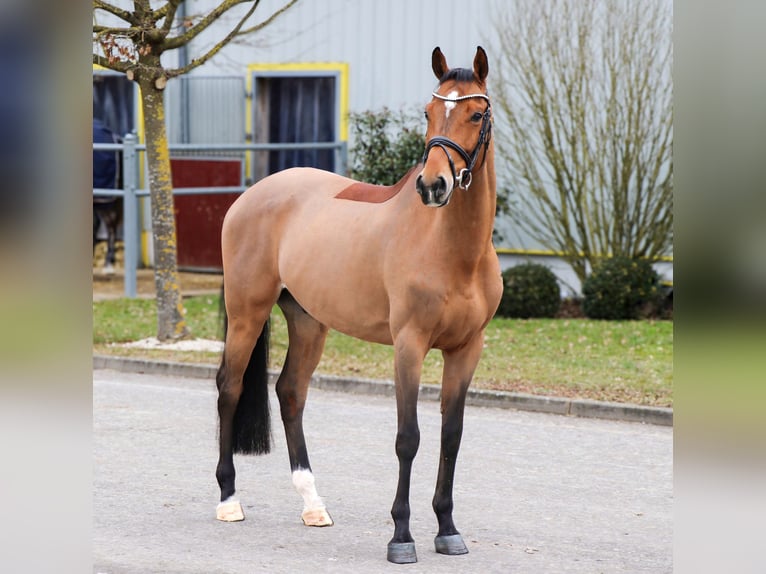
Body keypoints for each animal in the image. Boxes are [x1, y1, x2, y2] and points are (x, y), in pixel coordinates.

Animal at [215, 46, 502, 564]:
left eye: (475, 114)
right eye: (428, 113)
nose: (432, 186)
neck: (453, 250)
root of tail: (252, 194)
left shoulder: (467, 348)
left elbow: (451, 435)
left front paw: (448, 529)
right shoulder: (408, 345)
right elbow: (409, 438)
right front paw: (401, 537)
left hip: (309, 322)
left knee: (291, 392)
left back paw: (312, 504)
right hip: (247, 312)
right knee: (230, 387)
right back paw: (228, 500)